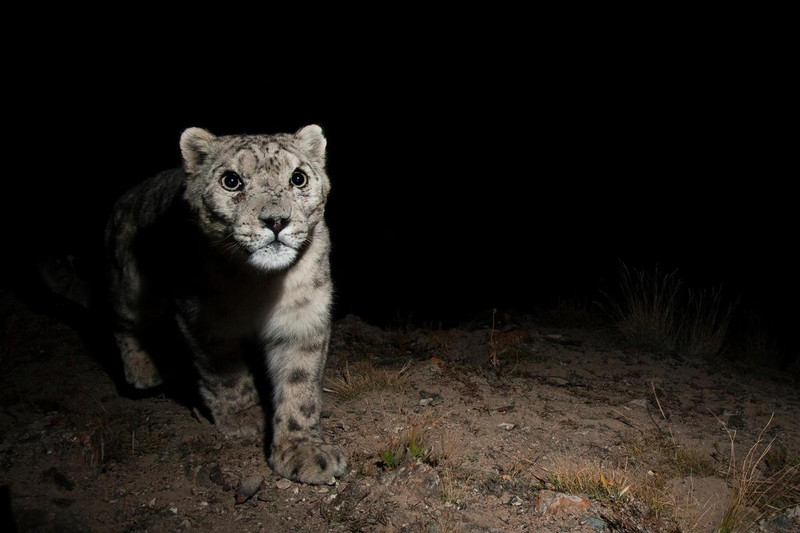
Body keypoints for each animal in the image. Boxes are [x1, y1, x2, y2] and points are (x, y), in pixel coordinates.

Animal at [105, 125, 346, 484]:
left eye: (298, 177)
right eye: (231, 180)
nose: (276, 221)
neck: (258, 285)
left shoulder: (302, 318)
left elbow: (300, 385)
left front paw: (303, 451)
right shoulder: (204, 321)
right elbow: (226, 375)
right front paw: (244, 416)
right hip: (130, 285)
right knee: (123, 321)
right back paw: (142, 371)